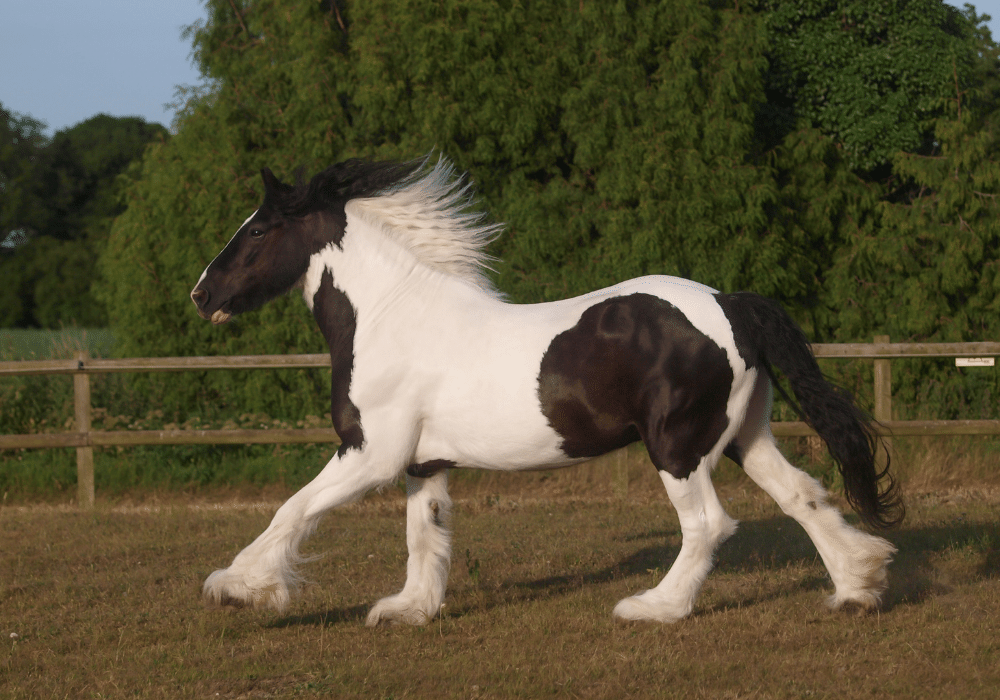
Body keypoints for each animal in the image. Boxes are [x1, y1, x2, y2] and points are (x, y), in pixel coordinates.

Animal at [191, 156, 904, 628]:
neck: (394, 316)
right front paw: (408, 609)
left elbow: (292, 510)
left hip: (677, 447)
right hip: (742, 435)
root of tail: (730, 303)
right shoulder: (423, 462)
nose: (202, 295)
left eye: (257, 231)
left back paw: (654, 608)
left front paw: (236, 587)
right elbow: (425, 535)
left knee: (708, 523)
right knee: (803, 496)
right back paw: (859, 586)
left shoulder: (371, 454)